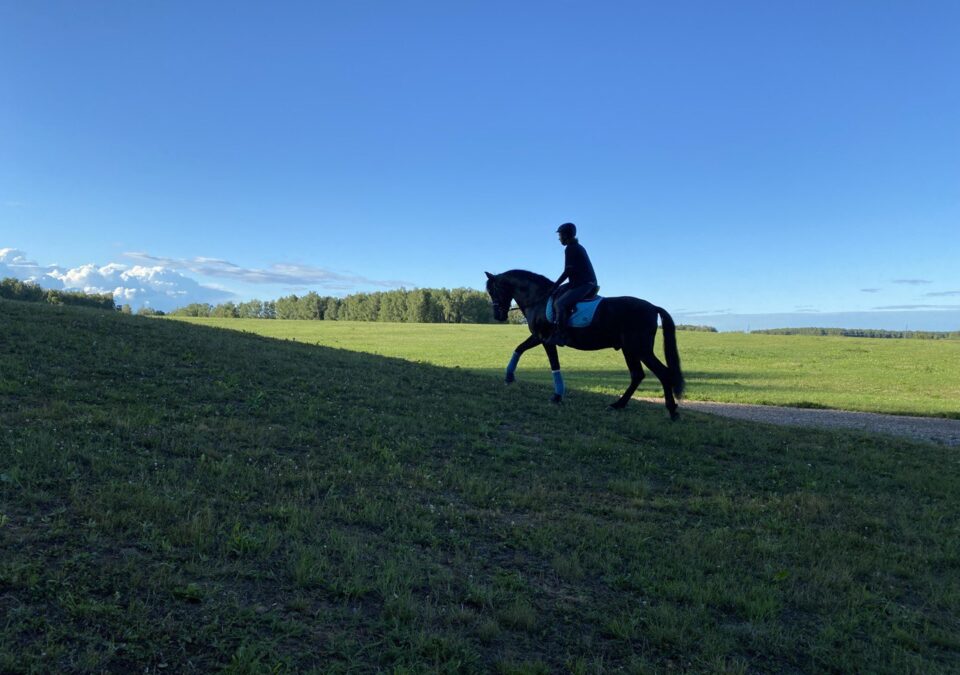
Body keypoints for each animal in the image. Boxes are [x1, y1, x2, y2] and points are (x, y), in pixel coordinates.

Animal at [485, 270, 685, 419]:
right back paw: (618, 404)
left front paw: (557, 396)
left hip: (640, 349)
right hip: (630, 350)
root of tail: (653, 307)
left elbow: (554, 364)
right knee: (637, 375)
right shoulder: (537, 337)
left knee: (663, 373)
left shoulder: (545, 339)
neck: (539, 299)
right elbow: (519, 348)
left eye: (493, 291)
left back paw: (671, 410)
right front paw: (509, 377)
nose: (498, 316)